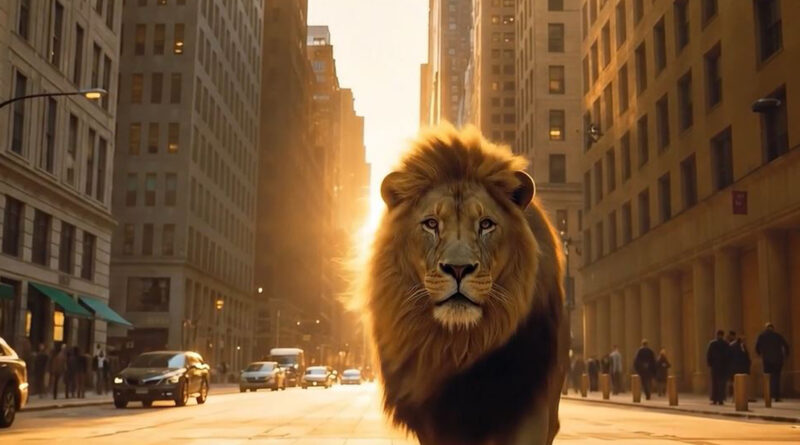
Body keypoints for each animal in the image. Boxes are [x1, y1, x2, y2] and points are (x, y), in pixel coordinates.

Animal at [364, 125, 569, 445]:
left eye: (485, 224)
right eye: (431, 224)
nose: (458, 268)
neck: (458, 347)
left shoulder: (530, 406)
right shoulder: (434, 424)